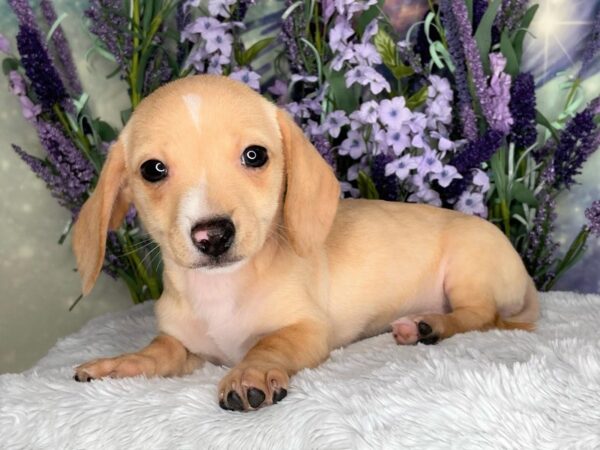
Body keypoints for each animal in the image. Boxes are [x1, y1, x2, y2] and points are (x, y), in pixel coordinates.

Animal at [71, 74, 540, 412]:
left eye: (255, 155)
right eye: (152, 169)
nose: (213, 235)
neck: (222, 290)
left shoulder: (307, 330)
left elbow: (268, 344)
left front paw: (250, 374)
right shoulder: (185, 347)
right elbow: (157, 351)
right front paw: (121, 364)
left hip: (468, 268)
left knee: (480, 315)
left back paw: (430, 325)